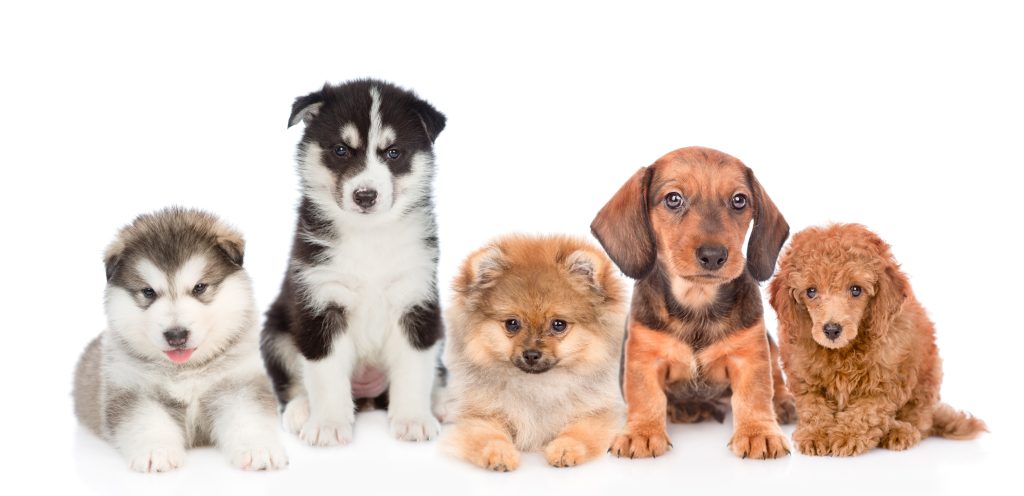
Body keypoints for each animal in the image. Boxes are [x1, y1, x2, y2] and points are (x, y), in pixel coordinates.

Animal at [74, 208, 286, 473]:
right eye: (148, 292)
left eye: (200, 287)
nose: (176, 335)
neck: (186, 370)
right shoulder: (134, 389)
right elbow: (147, 422)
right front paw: (157, 452)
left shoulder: (238, 385)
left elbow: (249, 418)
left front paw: (257, 449)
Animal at [262, 78, 446, 444]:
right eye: (341, 150)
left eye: (393, 152)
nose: (365, 196)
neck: (368, 237)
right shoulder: (320, 303)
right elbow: (325, 375)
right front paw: (328, 425)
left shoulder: (416, 300)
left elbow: (415, 369)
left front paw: (414, 419)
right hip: (275, 332)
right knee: (292, 382)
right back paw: (300, 411)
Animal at [444, 234, 626, 471]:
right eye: (512, 323)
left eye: (558, 324)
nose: (531, 354)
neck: (537, 386)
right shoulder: (478, 415)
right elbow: (488, 436)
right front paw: (500, 454)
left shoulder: (598, 413)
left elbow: (579, 431)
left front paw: (565, 449)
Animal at [589, 145, 794, 459]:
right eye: (673, 199)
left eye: (739, 200)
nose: (713, 255)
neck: (697, 303)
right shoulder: (643, 358)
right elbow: (646, 397)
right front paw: (642, 432)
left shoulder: (750, 355)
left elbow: (755, 395)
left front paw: (758, 433)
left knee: (777, 379)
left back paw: (782, 403)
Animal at [770, 222, 987, 455]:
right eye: (811, 291)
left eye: (856, 290)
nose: (832, 330)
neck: (843, 351)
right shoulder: (805, 378)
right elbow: (814, 408)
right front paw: (816, 435)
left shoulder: (884, 380)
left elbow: (866, 412)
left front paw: (846, 436)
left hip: (926, 378)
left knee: (921, 419)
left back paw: (900, 431)